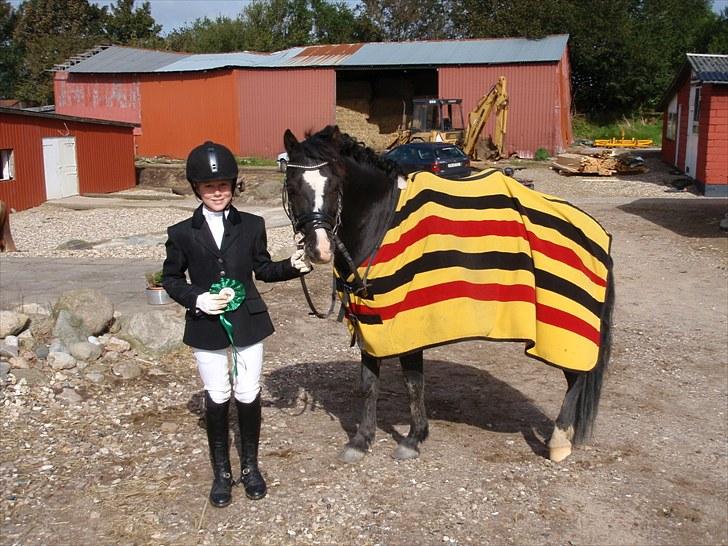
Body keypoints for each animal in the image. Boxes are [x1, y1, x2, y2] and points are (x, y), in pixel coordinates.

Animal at [282, 125, 612, 462]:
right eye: (293, 188)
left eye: (335, 185)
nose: (319, 249)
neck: (383, 223)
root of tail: (594, 230)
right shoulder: (370, 322)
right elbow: (369, 383)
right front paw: (361, 441)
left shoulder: (407, 324)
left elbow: (413, 384)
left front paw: (413, 439)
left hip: (563, 331)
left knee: (576, 377)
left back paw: (558, 442)